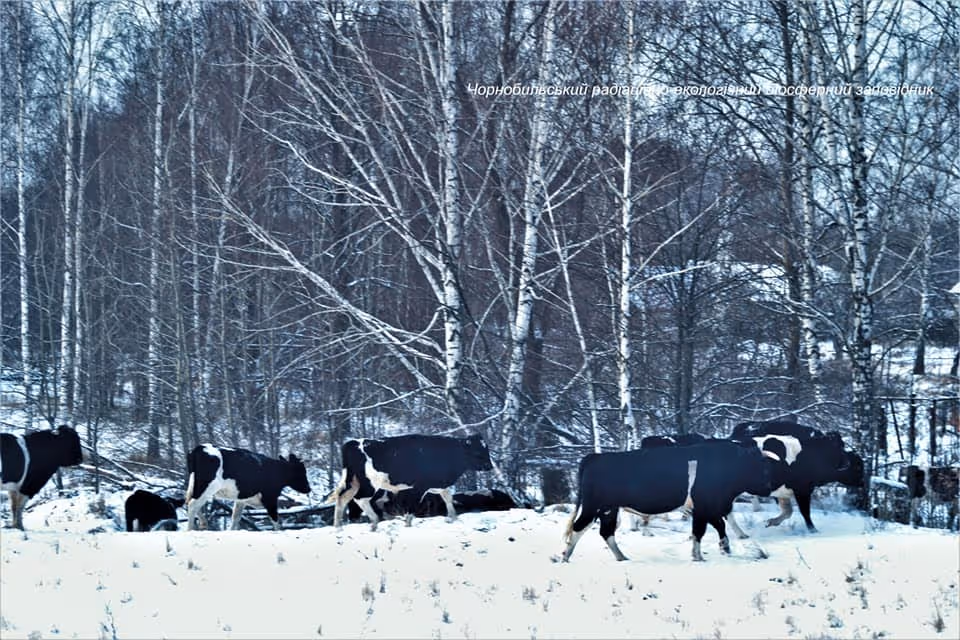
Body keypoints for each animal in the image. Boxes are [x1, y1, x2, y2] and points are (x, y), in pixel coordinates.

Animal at [331, 433, 494, 530]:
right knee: (359, 499)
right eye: (477, 451)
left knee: (343, 498)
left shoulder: (440, 485)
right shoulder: (419, 488)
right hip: (370, 483)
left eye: (487, 449)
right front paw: (408, 525)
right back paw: (374, 521)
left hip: (353, 481)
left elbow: (448, 500)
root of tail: (353, 442)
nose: (490, 466)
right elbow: (412, 508)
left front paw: (454, 519)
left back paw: (338, 526)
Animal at [561, 439, 785, 562]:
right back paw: (565, 557)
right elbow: (704, 529)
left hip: (609, 509)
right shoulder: (705, 506)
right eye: (761, 468)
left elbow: (714, 527)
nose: (768, 488)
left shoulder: (708, 508)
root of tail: (596, 456)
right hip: (594, 506)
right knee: (578, 527)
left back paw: (622, 557)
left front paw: (720, 549)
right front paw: (702, 555)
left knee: (605, 532)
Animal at [726, 421, 864, 536]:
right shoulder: (802, 490)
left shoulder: (783, 492)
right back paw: (741, 534)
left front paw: (772, 522)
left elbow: (788, 511)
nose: (862, 483)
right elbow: (804, 511)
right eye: (858, 467)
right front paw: (813, 531)